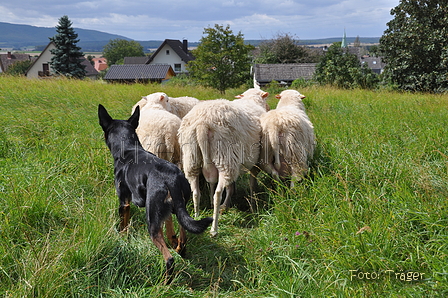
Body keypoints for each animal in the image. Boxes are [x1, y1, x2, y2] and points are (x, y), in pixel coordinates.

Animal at [97, 105, 212, 282]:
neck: (128, 148)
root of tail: (172, 178)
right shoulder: (167, 209)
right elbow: (171, 229)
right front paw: (173, 240)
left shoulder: (124, 202)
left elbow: (123, 226)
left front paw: (122, 240)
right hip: (177, 207)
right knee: (183, 236)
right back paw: (179, 248)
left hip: (151, 220)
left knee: (169, 259)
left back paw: (164, 282)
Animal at [178, 87, 270, 236]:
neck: (252, 101)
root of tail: (202, 123)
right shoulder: (253, 162)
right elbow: (250, 184)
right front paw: (253, 205)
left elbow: (230, 186)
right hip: (225, 157)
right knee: (218, 194)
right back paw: (214, 229)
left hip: (192, 156)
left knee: (196, 191)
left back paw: (197, 217)